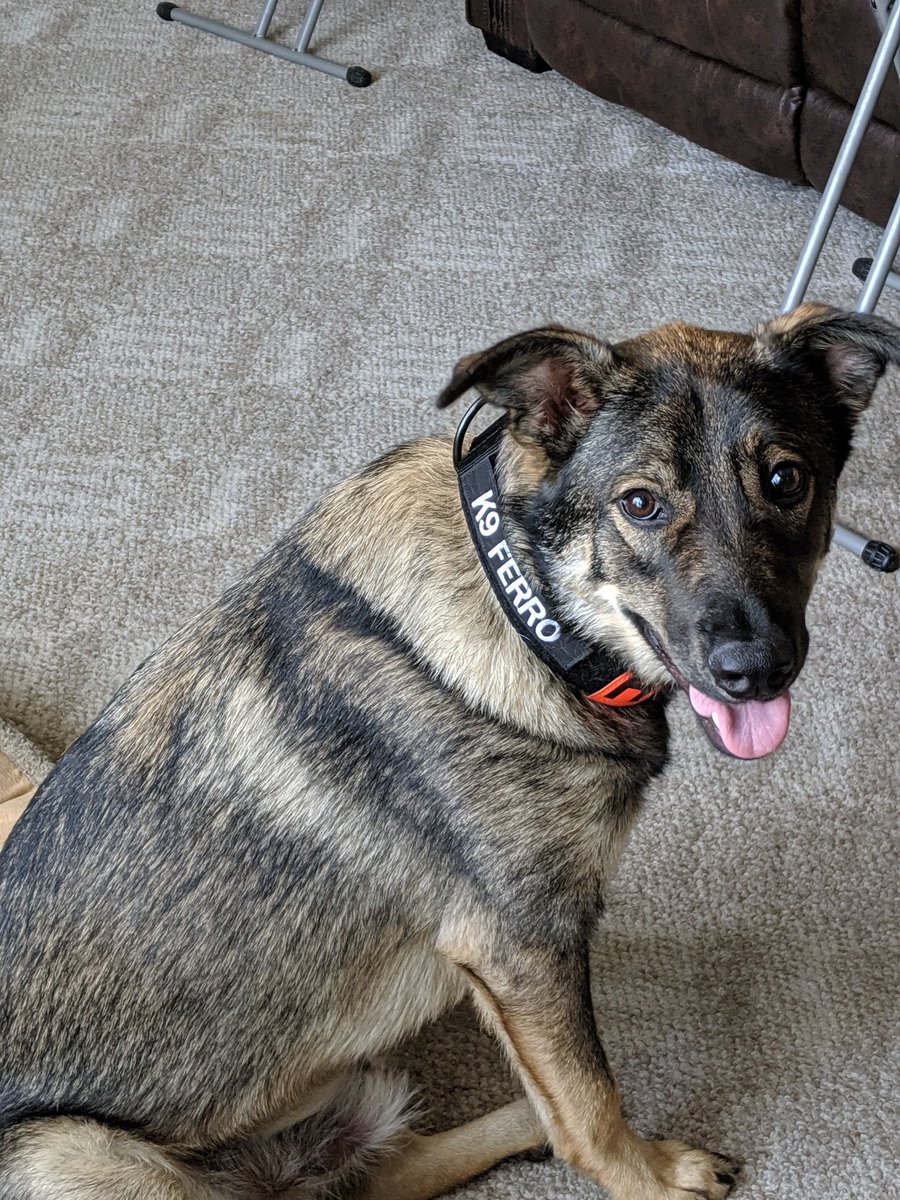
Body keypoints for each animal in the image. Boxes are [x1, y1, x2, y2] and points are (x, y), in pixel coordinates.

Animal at [1, 302, 900, 1200]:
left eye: (785, 481)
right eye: (641, 503)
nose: (757, 670)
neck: (527, 608)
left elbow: (577, 1090)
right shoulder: (522, 946)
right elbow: (591, 1104)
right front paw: (649, 1176)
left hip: (363, 1090)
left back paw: (516, 1126)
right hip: (72, 1151)